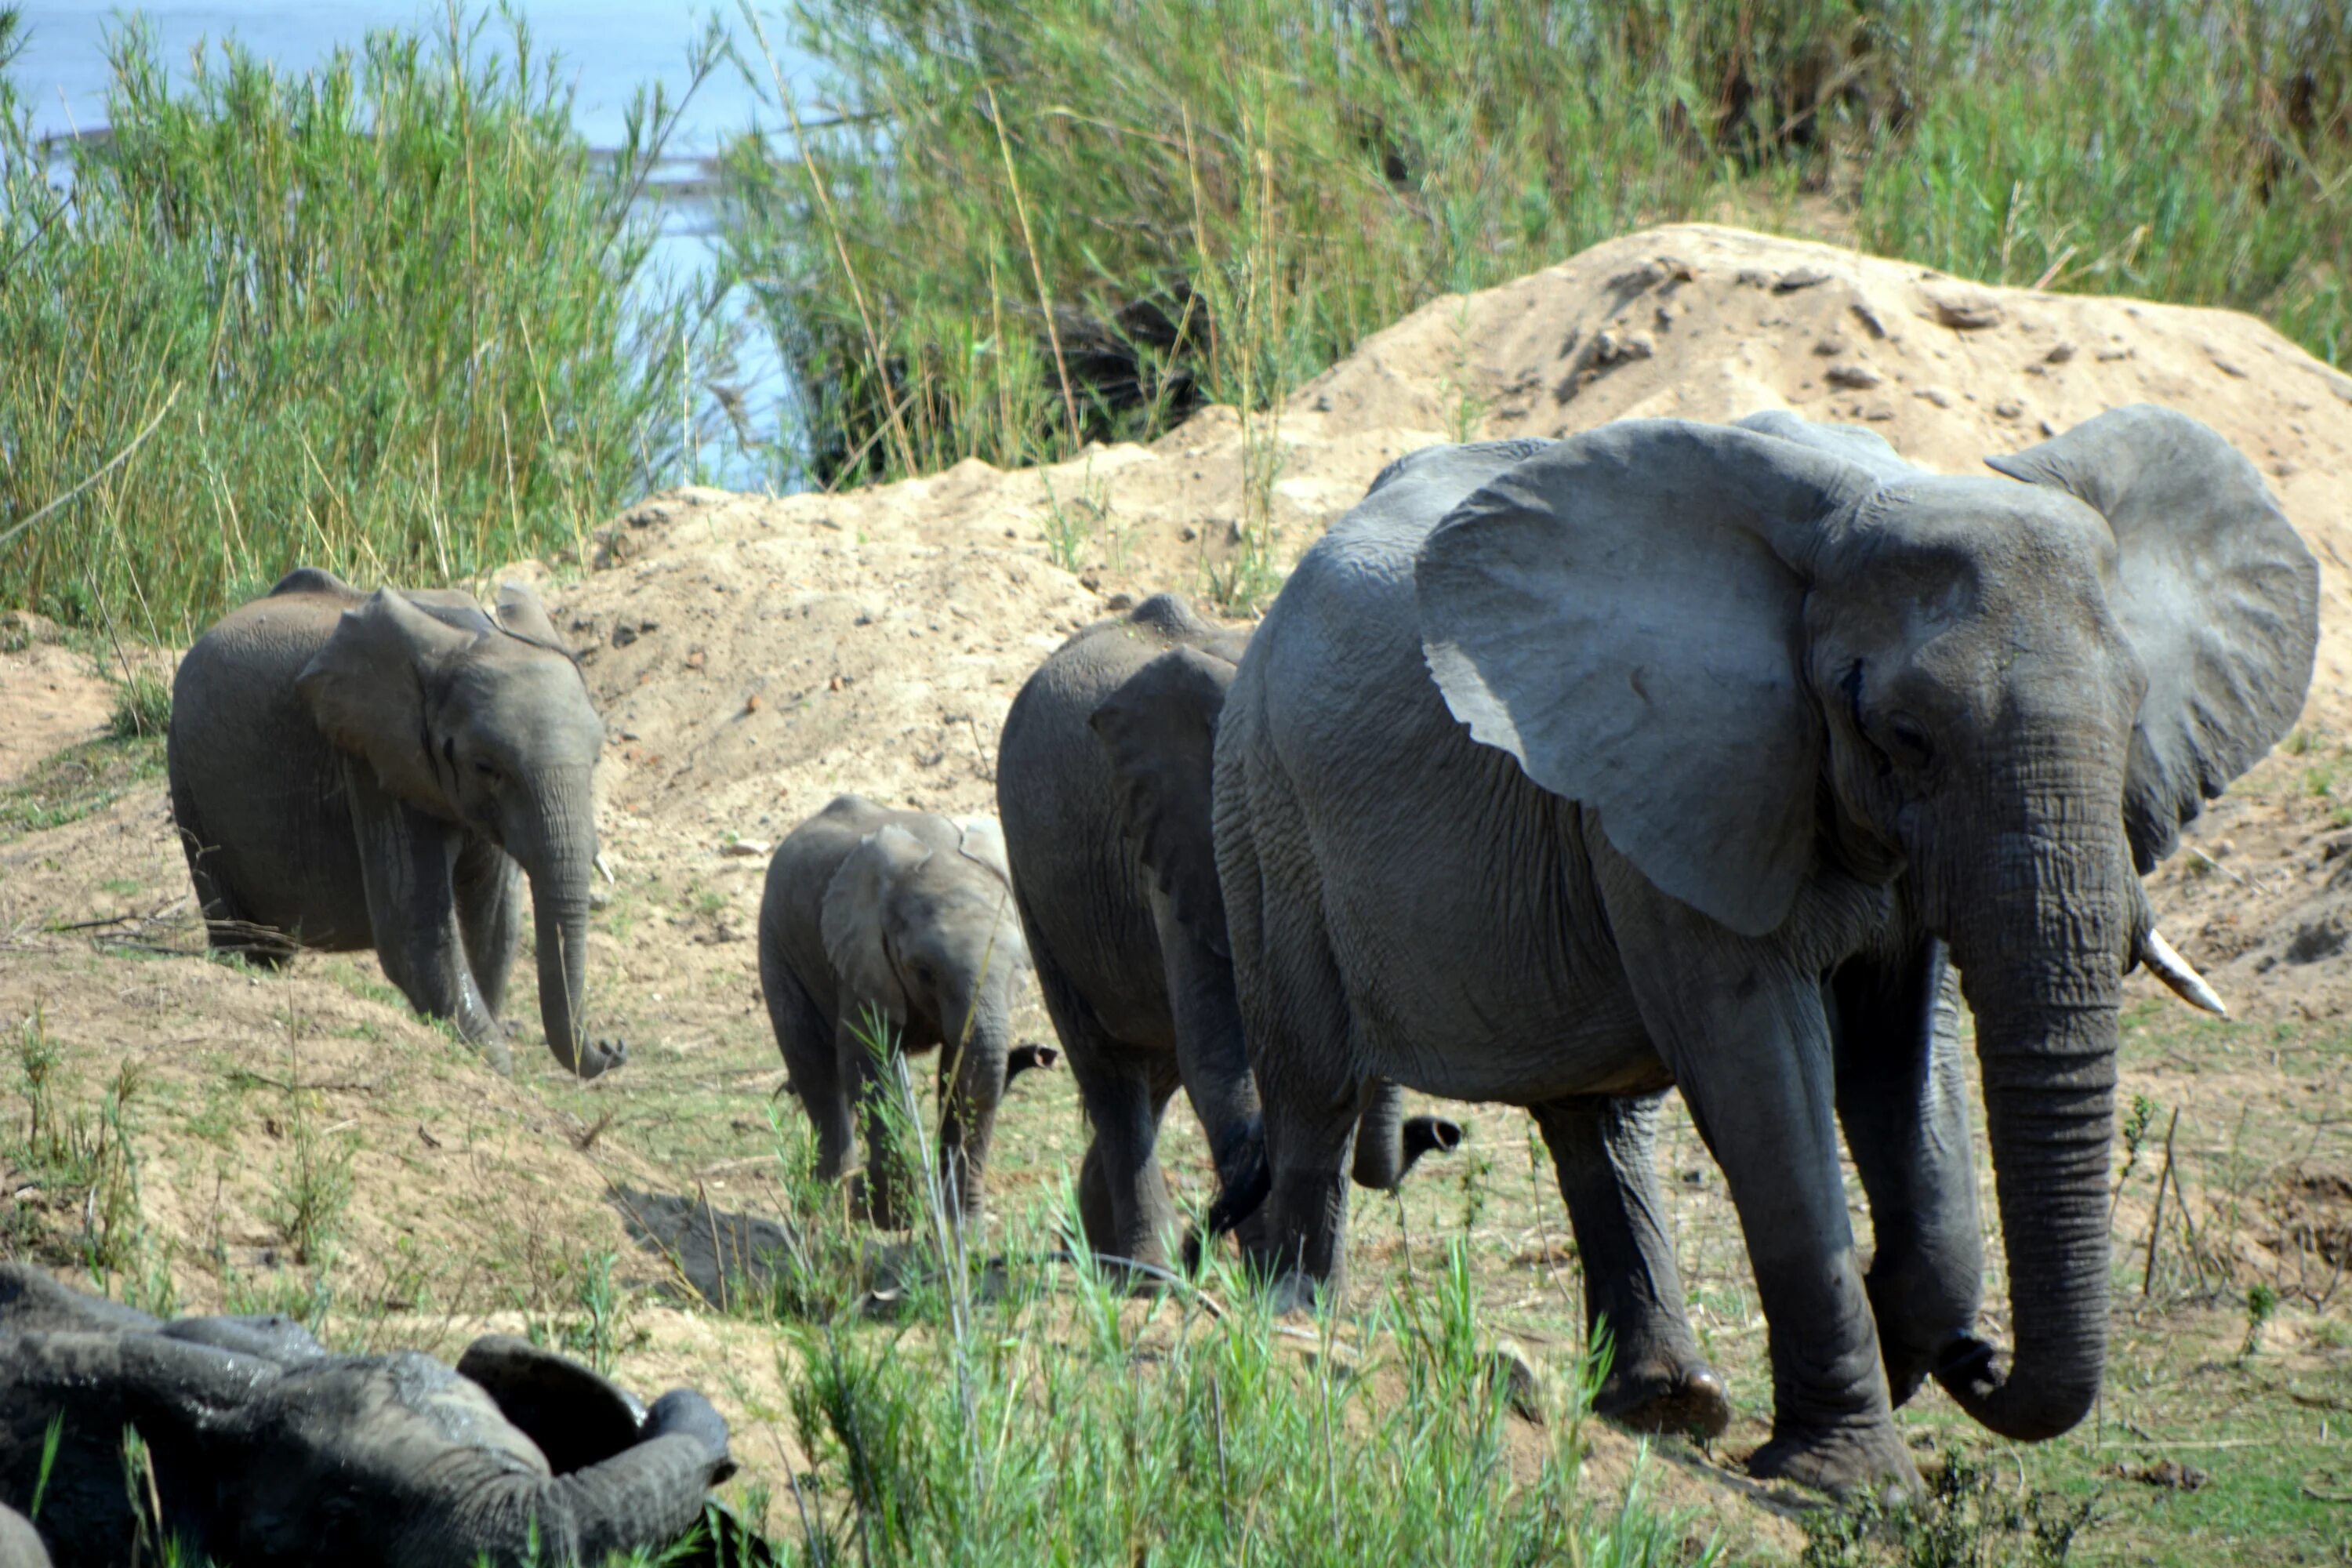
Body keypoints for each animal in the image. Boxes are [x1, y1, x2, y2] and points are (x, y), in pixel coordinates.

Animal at [169, 566, 626, 1081]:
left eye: (597, 758)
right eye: (487, 767)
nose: (613, 1046)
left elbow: (496, 920)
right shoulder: (374, 759)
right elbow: (414, 928)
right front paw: (493, 1062)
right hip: (186, 774)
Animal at [762, 799, 1049, 1222]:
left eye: (1021, 968)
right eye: (924, 972)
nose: (1040, 1054)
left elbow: (958, 1074)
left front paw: (962, 1225)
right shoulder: (862, 958)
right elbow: (866, 1062)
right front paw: (889, 1216)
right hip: (777, 948)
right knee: (814, 1069)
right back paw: (824, 1208)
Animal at [993, 587, 1468, 1279]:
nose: (1442, 1132)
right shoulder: (1179, 839)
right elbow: (1224, 1063)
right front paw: (1267, 1274)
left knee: (1156, 1072)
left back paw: (1110, 1252)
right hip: (1036, 880)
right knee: (1111, 1070)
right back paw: (1149, 1270)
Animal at [1214, 408, 2314, 1495]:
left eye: (2134, 716)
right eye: (1904, 733)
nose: (1982, 1359)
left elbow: (1905, 1067)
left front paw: (1904, 1338)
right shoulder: (1678, 771)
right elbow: (1765, 1072)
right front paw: (1855, 1481)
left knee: (1598, 1120)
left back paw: (1668, 1404)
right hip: (1264, 799)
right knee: (1315, 1080)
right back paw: (1298, 1320)